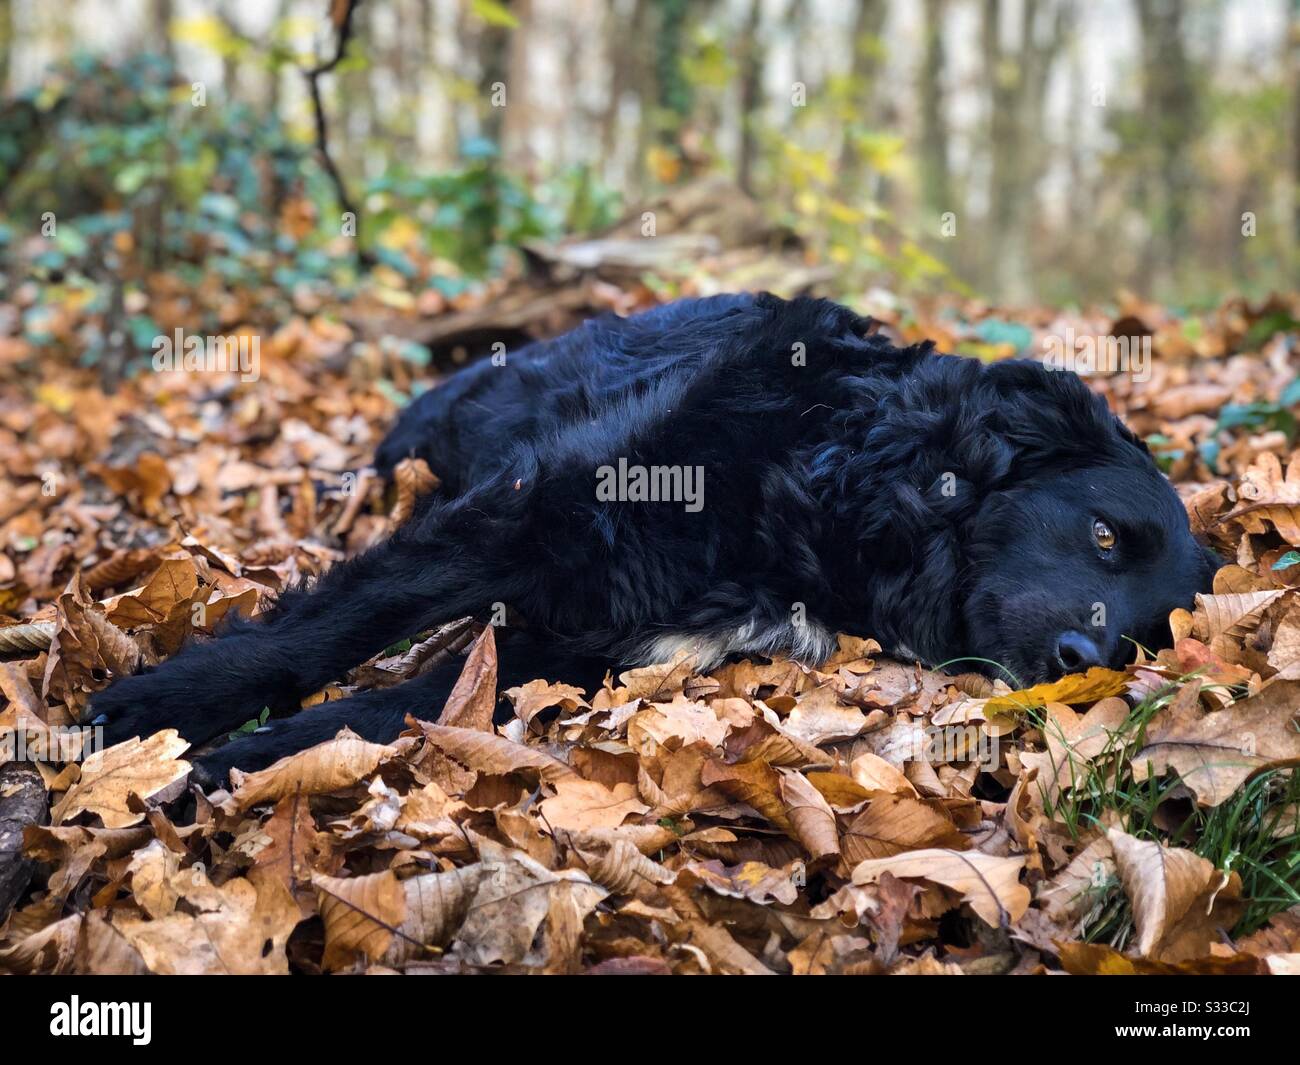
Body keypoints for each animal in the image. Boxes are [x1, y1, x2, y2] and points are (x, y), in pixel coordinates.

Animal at [91, 295, 1216, 780]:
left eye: (1141, 641)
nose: (1077, 653)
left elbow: (408, 704)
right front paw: (151, 713)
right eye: (1104, 535)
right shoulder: (525, 511)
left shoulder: (595, 638)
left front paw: (256, 756)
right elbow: (329, 628)